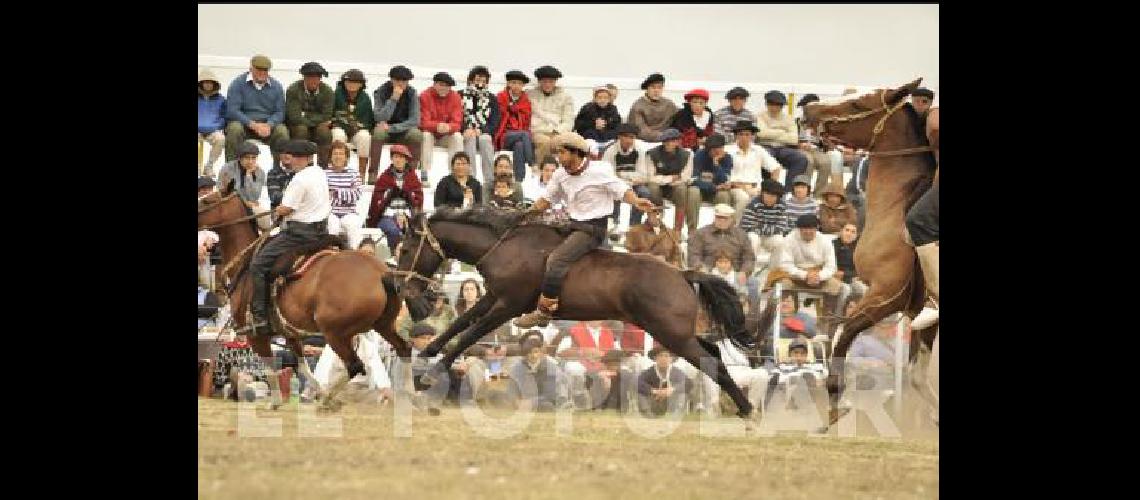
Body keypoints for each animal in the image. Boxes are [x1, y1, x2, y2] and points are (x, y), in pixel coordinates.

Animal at [197, 189, 410, 410]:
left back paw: (328, 400)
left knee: (355, 365)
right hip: (383, 325)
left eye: (208, 200)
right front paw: (313, 391)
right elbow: (303, 367)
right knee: (403, 349)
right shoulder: (290, 333)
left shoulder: (256, 336)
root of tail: (380, 274)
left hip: (335, 333)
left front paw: (275, 402)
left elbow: (271, 368)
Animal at [394, 207, 766, 423]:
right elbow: (461, 322)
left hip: (671, 334)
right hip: (677, 333)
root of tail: (683, 274)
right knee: (714, 353)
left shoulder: (509, 304)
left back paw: (747, 409)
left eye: (408, 248)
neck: (505, 246)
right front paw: (427, 352)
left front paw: (427, 377)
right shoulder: (493, 297)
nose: (401, 286)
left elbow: (469, 334)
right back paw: (743, 407)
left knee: (711, 360)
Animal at [802, 78, 934, 423]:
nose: (809, 109)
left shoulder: (885, 295)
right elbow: (917, 376)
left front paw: (836, 400)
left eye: (857, 105)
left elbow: (844, 332)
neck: (899, 203)